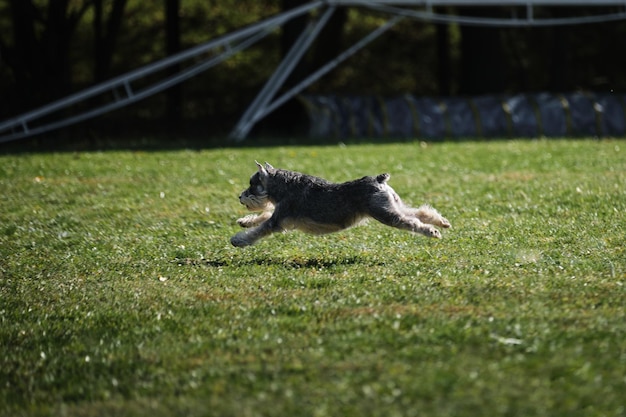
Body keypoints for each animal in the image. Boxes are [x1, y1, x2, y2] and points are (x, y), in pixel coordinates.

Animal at [229, 162, 448, 247]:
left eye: (252, 184)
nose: (240, 197)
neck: (284, 186)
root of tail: (379, 180)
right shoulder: (281, 215)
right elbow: (263, 216)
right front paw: (244, 221)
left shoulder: (279, 219)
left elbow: (260, 229)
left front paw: (238, 240)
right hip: (393, 206)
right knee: (418, 212)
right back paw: (442, 222)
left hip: (386, 215)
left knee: (413, 223)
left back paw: (432, 232)